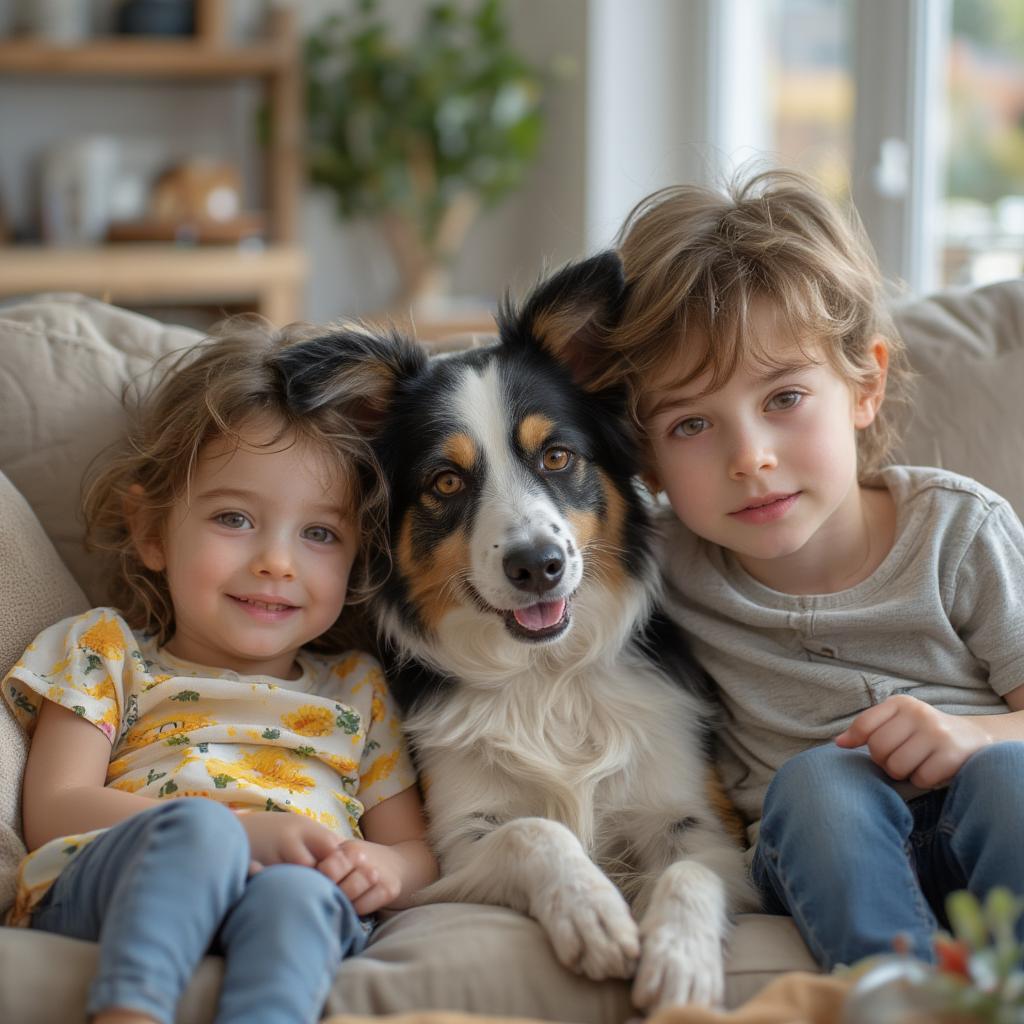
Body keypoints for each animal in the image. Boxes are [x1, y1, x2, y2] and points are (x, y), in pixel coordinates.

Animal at [276, 251, 757, 1003]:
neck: (546, 679)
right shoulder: (456, 843)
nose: (539, 566)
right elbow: (531, 833)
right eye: (445, 482)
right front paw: (592, 913)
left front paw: (679, 962)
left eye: (556, 456)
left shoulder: (702, 821)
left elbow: (689, 870)